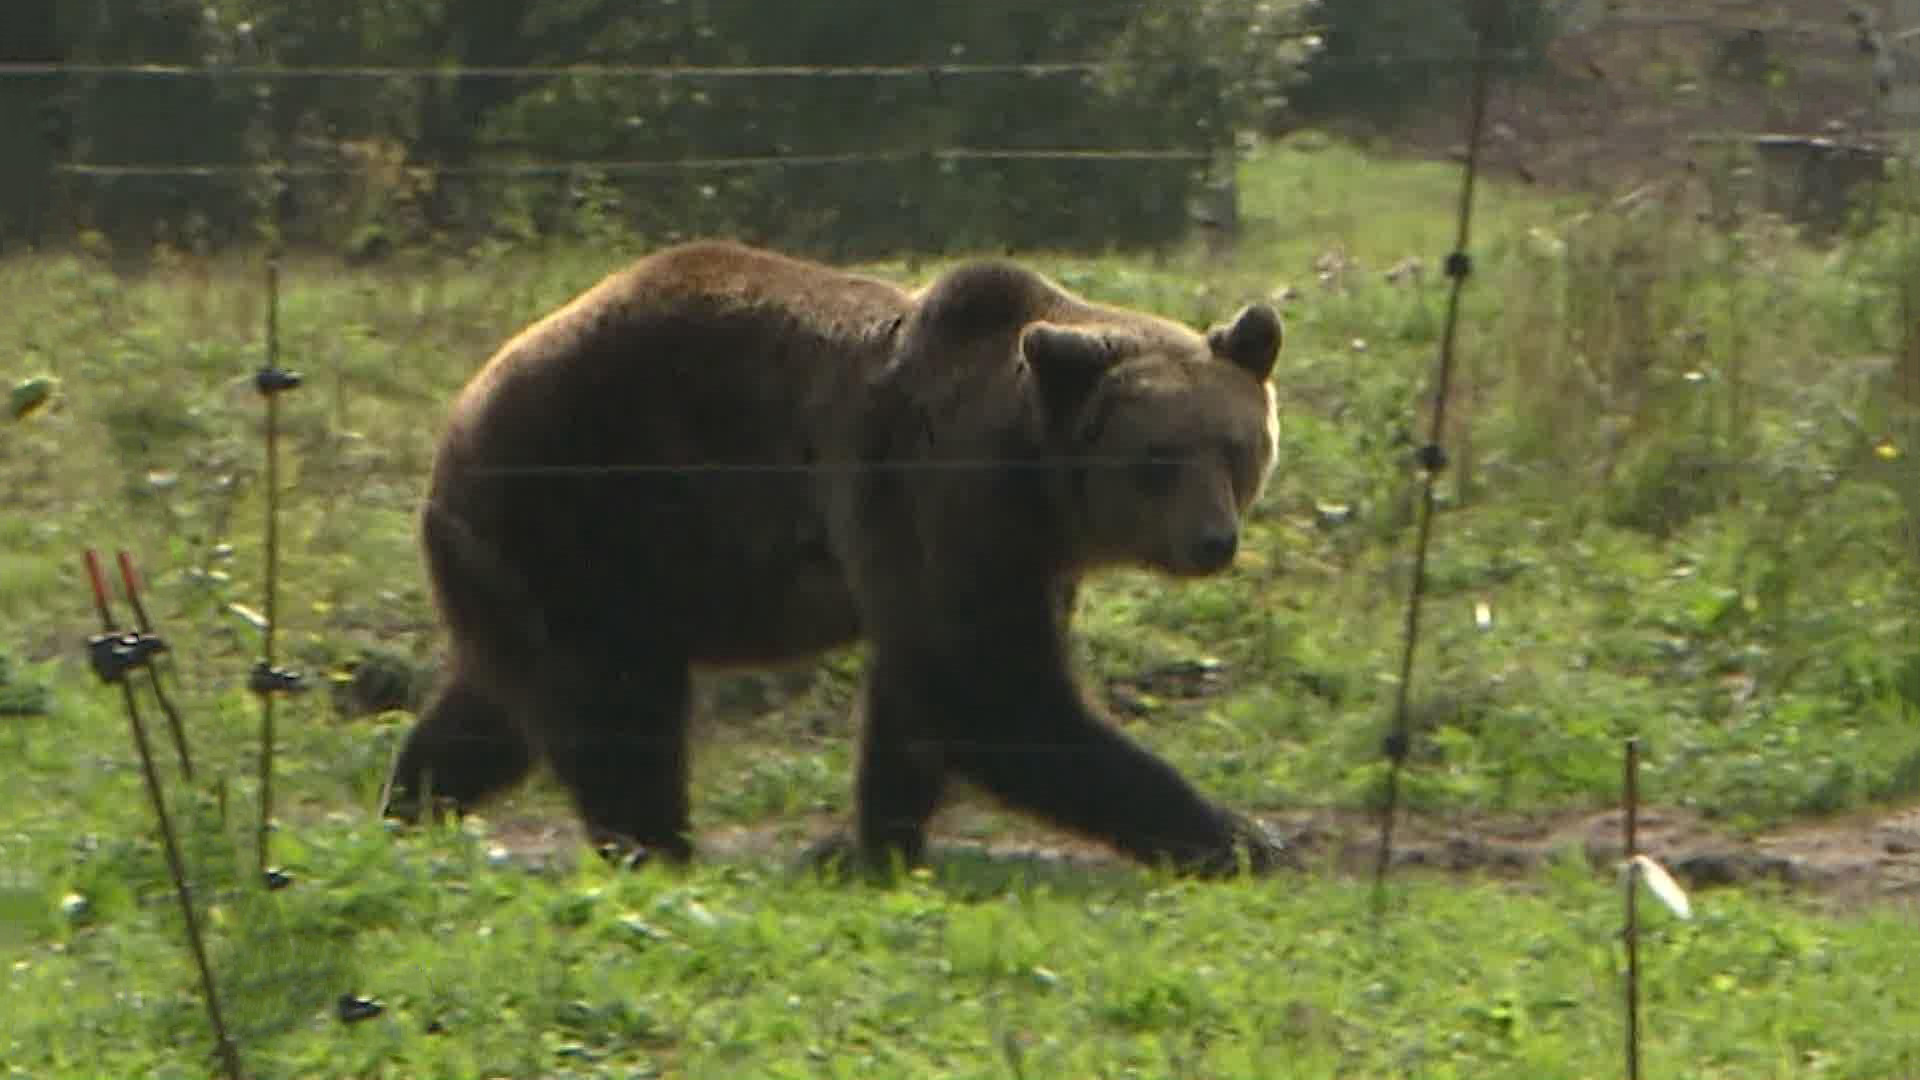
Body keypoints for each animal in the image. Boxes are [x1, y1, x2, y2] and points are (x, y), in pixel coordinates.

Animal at [382, 237, 1290, 876]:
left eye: (1237, 449)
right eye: (1158, 459)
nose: (1213, 541)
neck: (1033, 477)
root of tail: (457, 423)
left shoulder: (1019, 556)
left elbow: (918, 703)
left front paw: (877, 845)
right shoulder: (939, 501)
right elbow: (991, 691)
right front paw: (1237, 836)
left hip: (540, 561)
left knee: (498, 703)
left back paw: (411, 804)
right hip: (586, 511)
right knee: (613, 702)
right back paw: (658, 847)